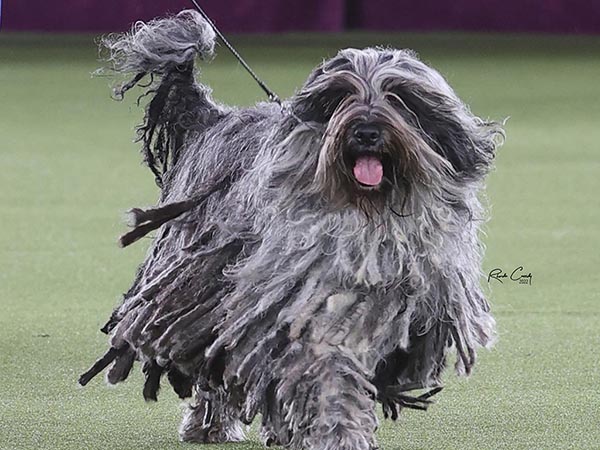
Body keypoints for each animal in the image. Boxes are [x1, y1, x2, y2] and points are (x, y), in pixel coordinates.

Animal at [79, 10, 502, 450]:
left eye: (398, 96)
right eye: (341, 96)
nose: (366, 130)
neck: (369, 214)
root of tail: (214, 118)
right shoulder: (304, 306)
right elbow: (330, 374)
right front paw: (341, 432)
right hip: (197, 289)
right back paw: (211, 424)